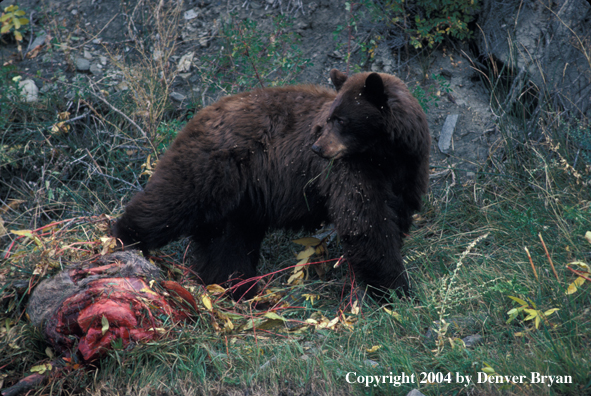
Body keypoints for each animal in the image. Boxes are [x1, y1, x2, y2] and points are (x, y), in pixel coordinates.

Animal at [112, 69, 430, 302]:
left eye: (340, 120)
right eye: (328, 119)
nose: (316, 148)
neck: (385, 155)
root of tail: (198, 115)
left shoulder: (409, 168)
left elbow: (395, 214)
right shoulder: (350, 169)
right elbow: (364, 221)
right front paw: (395, 287)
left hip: (239, 201)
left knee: (227, 244)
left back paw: (238, 289)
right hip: (211, 169)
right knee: (171, 203)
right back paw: (123, 240)